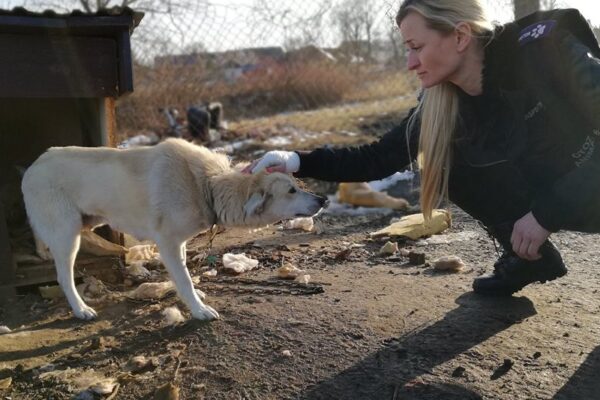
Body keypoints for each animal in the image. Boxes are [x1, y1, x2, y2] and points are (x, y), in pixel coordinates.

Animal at [21, 139, 326, 320]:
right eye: (291, 190)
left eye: (296, 184)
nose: (323, 200)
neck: (206, 185)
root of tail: (32, 167)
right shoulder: (167, 243)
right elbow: (185, 280)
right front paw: (199, 310)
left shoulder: (179, 244)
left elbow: (185, 276)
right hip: (68, 236)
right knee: (63, 277)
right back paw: (81, 308)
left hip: (87, 221)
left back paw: (42, 253)